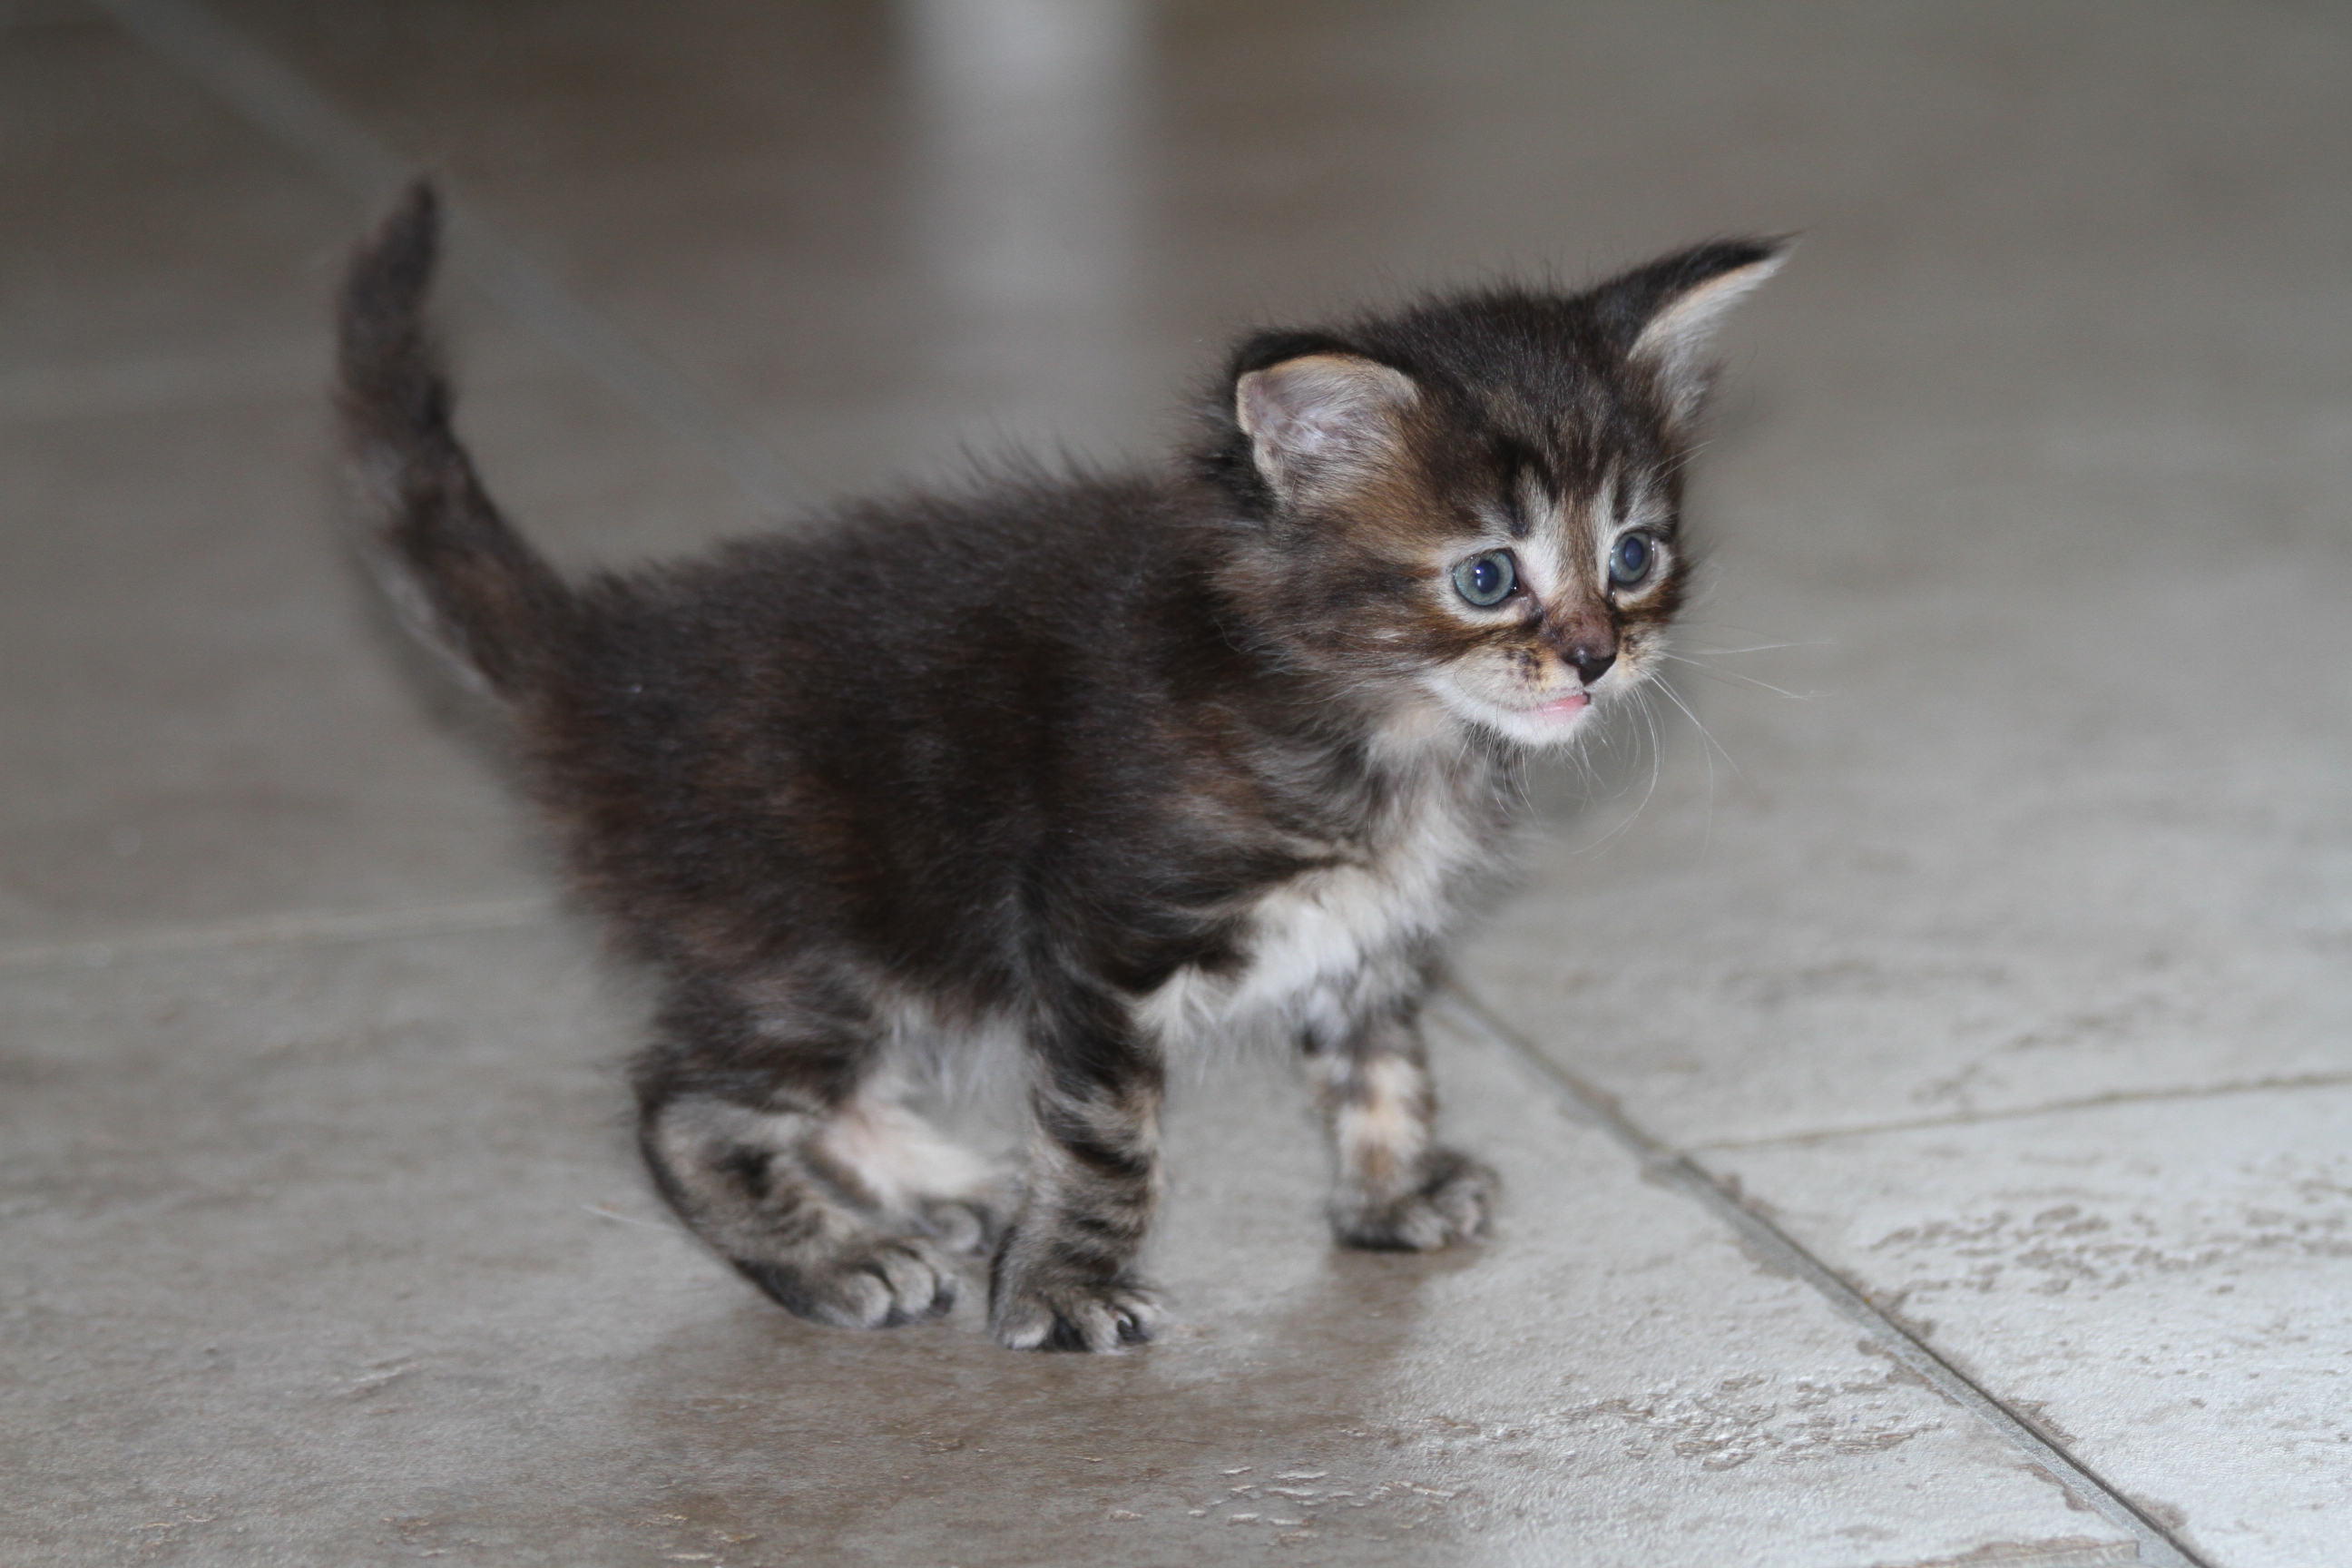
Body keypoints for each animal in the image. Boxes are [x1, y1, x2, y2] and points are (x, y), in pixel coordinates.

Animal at [336, 184, 1778, 1354]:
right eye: (1486, 577)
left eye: (1634, 555)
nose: (1594, 655)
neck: (1382, 728)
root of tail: (601, 658)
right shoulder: (1098, 936)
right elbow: (1106, 1139)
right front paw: (1068, 1288)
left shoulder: (1365, 929)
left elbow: (1378, 1060)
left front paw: (1391, 1192)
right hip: (811, 944)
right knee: (681, 1109)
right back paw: (840, 1257)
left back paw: (951, 1184)